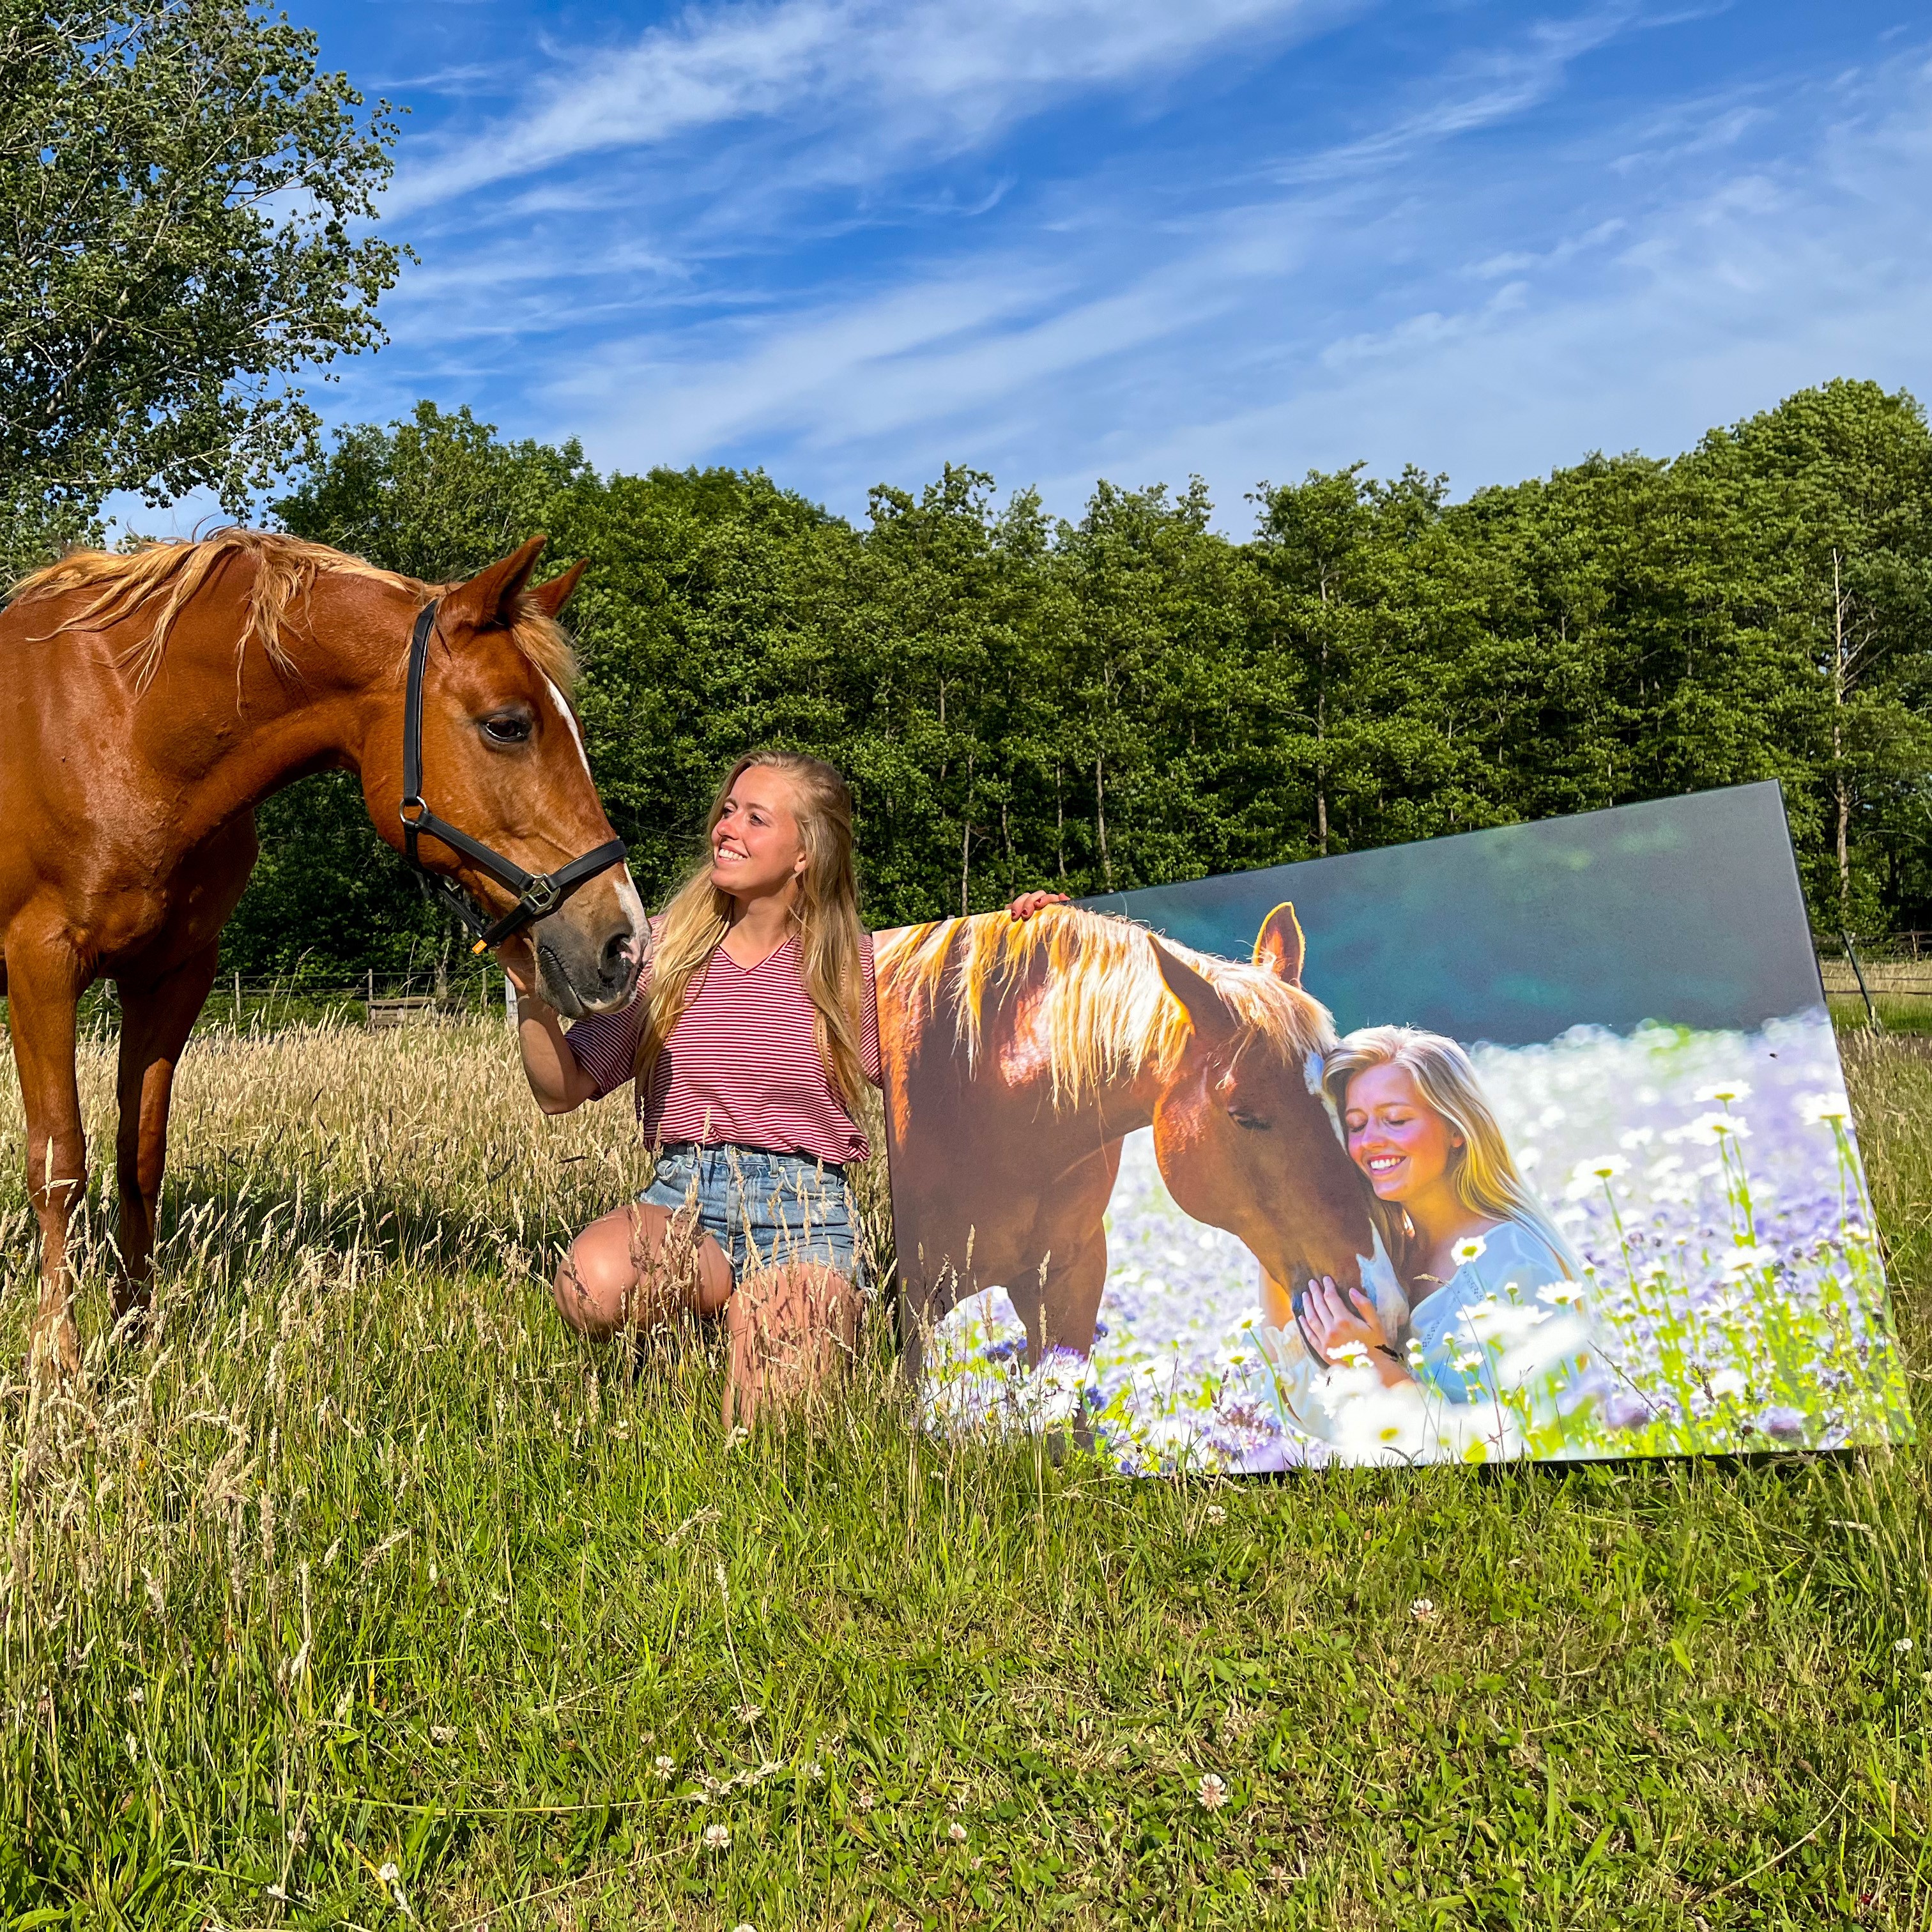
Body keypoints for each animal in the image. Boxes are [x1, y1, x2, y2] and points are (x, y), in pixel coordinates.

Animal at [3, 521, 645, 1383]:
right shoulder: (41, 969)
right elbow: (59, 1164)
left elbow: (141, 1157)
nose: (623, 941)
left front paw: (135, 1332)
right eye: (508, 724)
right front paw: (59, 1362)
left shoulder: (171, 977)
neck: (121, 725)